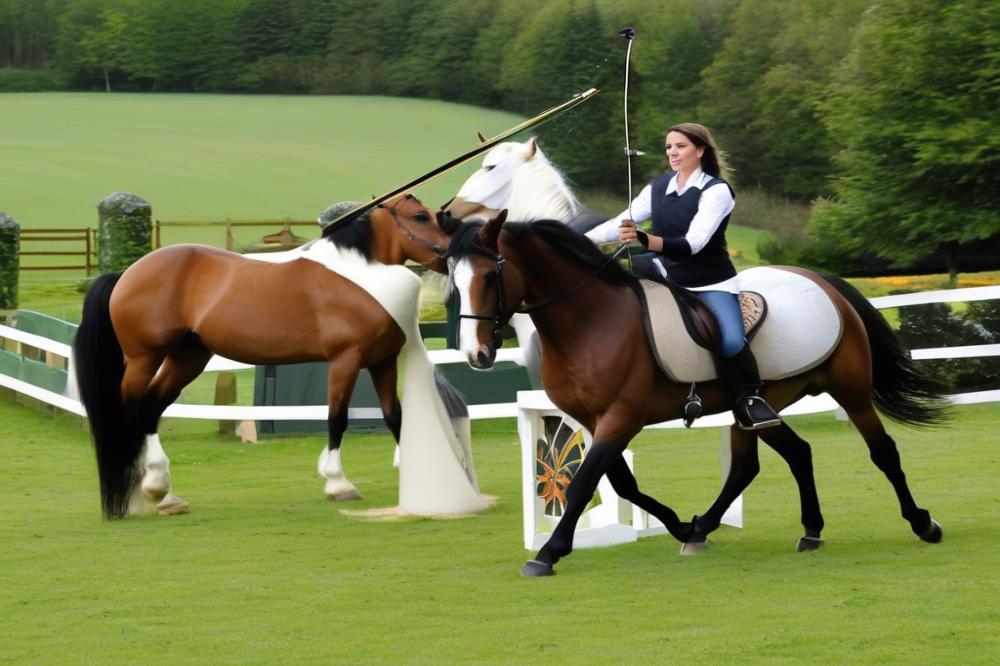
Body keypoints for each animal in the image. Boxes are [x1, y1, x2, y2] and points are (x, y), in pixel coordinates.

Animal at [74, 195, 476, 516]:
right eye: (421, 217)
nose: (458, 252)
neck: (358, 276)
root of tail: (126, 273)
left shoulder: (381, 362)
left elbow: (395, 417)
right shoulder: (345, 361)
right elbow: (336, 418)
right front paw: (338, 484)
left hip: (188, 358)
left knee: (149, 410)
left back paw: (164, 494)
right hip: (144, 359)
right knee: (129, 411)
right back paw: (136, 496)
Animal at [450, 215, 948, 572]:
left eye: (490, 278)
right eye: (454, 282)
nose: (477, 353)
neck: (591, 320)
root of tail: (823, 280)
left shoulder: (621, 417)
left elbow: (585, 483)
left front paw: (548, 553)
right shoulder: (595, 420)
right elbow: (621, 483)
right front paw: (677, 525)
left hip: (851, 392)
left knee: (882, 451)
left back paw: (924, 523)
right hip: (755, 406)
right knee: (778, 458)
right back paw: (761, 529)